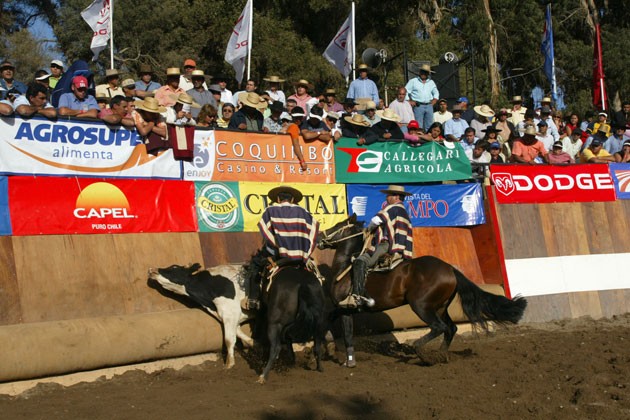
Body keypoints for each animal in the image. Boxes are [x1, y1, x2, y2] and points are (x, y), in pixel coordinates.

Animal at [245, 252, 327, 384]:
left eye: (253, 278)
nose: (252, 303)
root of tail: (302, 284)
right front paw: (292, 360)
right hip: (319, 323)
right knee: (317, 346)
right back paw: (320, 368)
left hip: (275, 324)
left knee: (276, 348)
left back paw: (263, 376)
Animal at [317, 214, 527, 367]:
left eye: (338, 225)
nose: (320, 237)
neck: (345, 268)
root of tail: (450, 269)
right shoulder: (340, 309)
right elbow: (327, 320)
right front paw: (329, 347)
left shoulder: (346, 309)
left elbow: (347, 334)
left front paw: (349, 361)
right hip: (439, 307)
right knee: (451, 328)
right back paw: (441, 355)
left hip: (421, 306)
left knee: (439, 327)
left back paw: (419, 350)